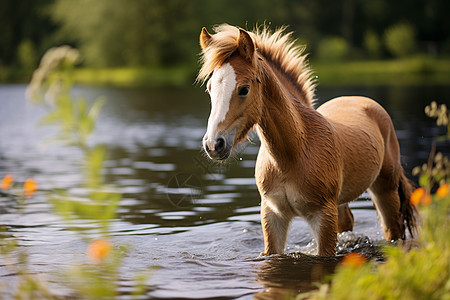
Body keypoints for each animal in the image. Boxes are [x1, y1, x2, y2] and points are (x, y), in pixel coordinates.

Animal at [197, 24, 418, 256]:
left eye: (244, 89)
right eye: (210, 88)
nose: (213, 144)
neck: (293, 154)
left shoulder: (323, 216)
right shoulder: (272, 214)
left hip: (385, 190)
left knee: (393, 231)